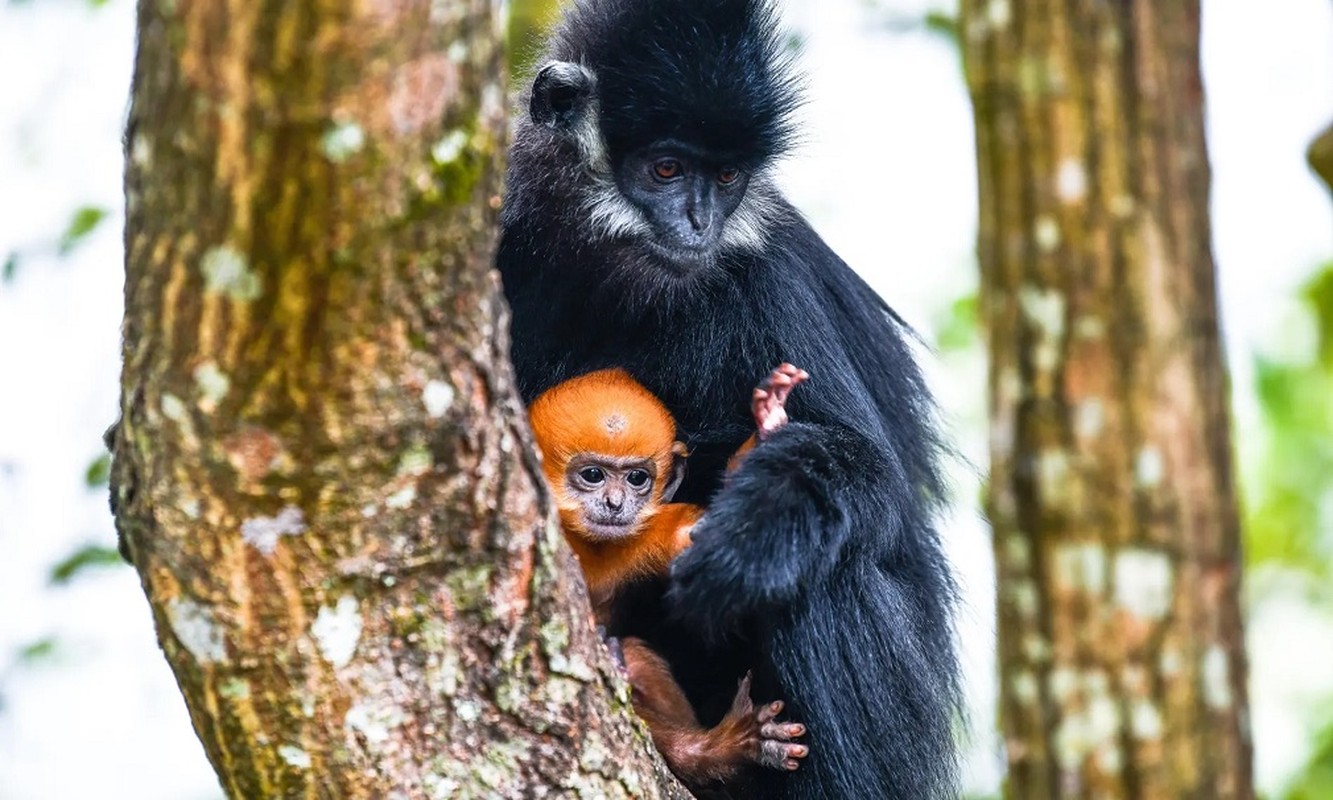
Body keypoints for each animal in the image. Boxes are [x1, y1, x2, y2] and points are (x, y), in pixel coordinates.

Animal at [525, 365, 805, 789]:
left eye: (637, 479)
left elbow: (697, 536)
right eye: (593, 475)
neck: (592, 548)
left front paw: (767, 422)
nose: (615, 504)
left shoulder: (649, 534)